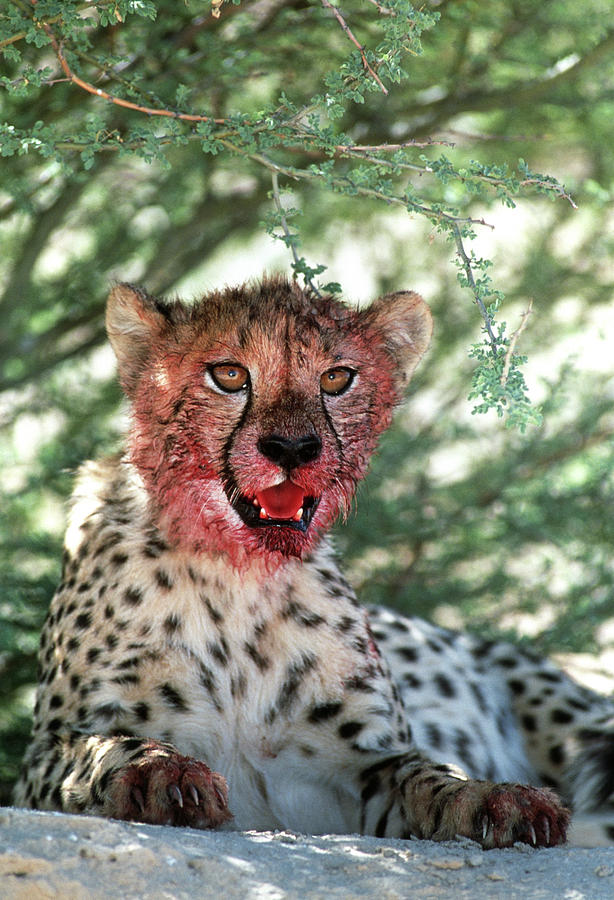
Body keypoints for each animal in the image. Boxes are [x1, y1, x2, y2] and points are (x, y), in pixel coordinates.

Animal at [13, 272, 614, 844]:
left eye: (335, 379)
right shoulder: (43, 754)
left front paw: (498, 798)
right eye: (228, 374)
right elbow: (105, 749)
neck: (239, 572)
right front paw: (162, 774)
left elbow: (430, 775)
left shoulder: (363, 766)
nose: (292, 448)